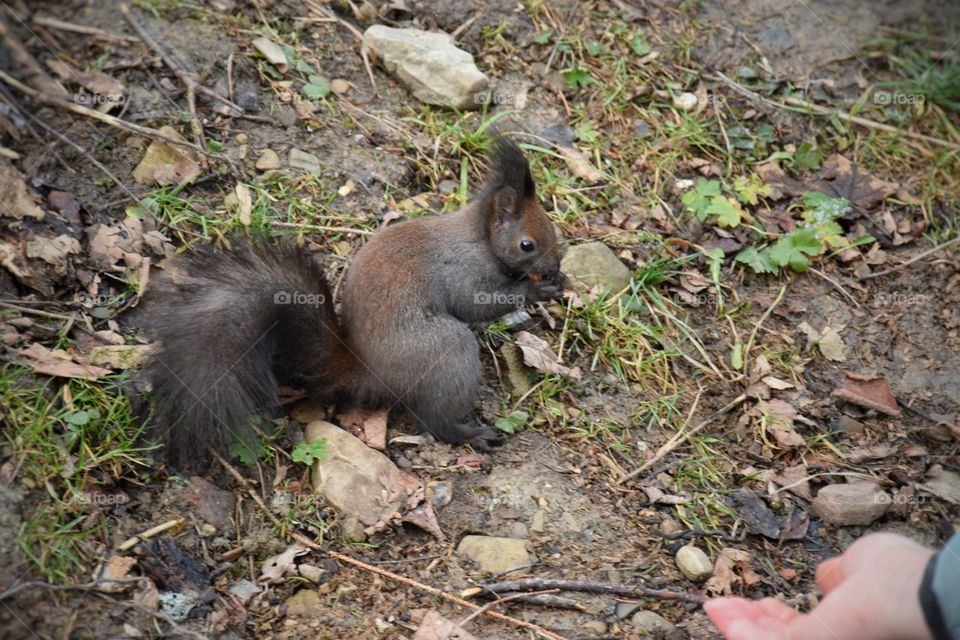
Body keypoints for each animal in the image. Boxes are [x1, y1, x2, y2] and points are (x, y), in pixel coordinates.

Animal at [145, 137, 565, 470]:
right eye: (527, 244)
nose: (555, 266)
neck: (479, 237)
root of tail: (368, 372)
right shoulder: (464, 271)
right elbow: (477, 304)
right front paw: (535, 292)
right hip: (447, 352)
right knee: (434, 421)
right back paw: (469, 433)